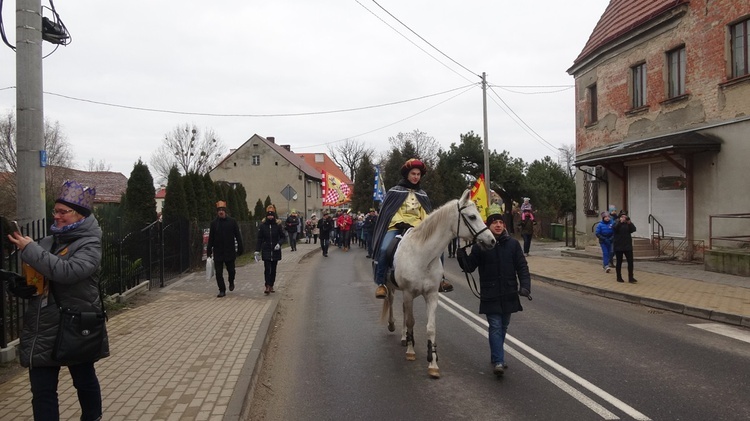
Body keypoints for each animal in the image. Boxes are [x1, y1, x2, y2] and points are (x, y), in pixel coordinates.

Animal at [382, 189, 500, 378]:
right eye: (472, 216)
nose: (492, 240)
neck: (422, 256)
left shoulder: (431, 295)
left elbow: (430, 328)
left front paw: (433, 363)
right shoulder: (408, 293)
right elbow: (411, 321)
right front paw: (411, 351)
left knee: (403, 310)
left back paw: (403, 337)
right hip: (392, 287)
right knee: (392, 302)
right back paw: (393, 326)